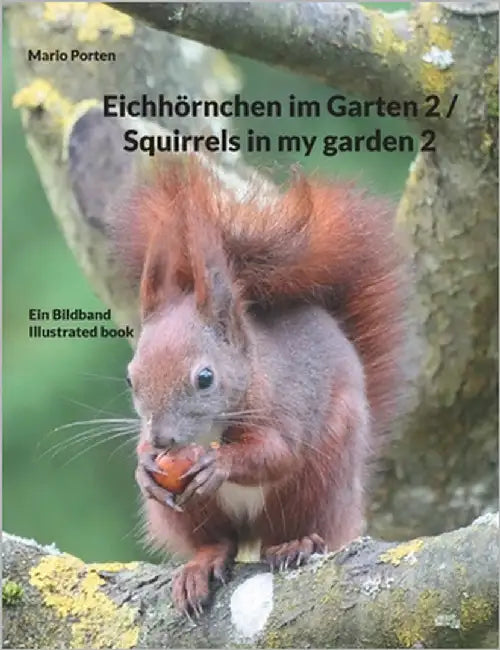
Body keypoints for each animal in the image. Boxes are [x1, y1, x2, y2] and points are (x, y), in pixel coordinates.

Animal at [114, 156, 407, 615]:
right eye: (131, 377)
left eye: (205, 378)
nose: (162, 440)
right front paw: (145, 467)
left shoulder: (284, 408)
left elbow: (276, 453)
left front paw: (218, 462)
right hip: (188, 514)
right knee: (219, 541)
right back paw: (202, 564)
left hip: (320, 481)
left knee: (291, 527)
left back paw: (294, 543)